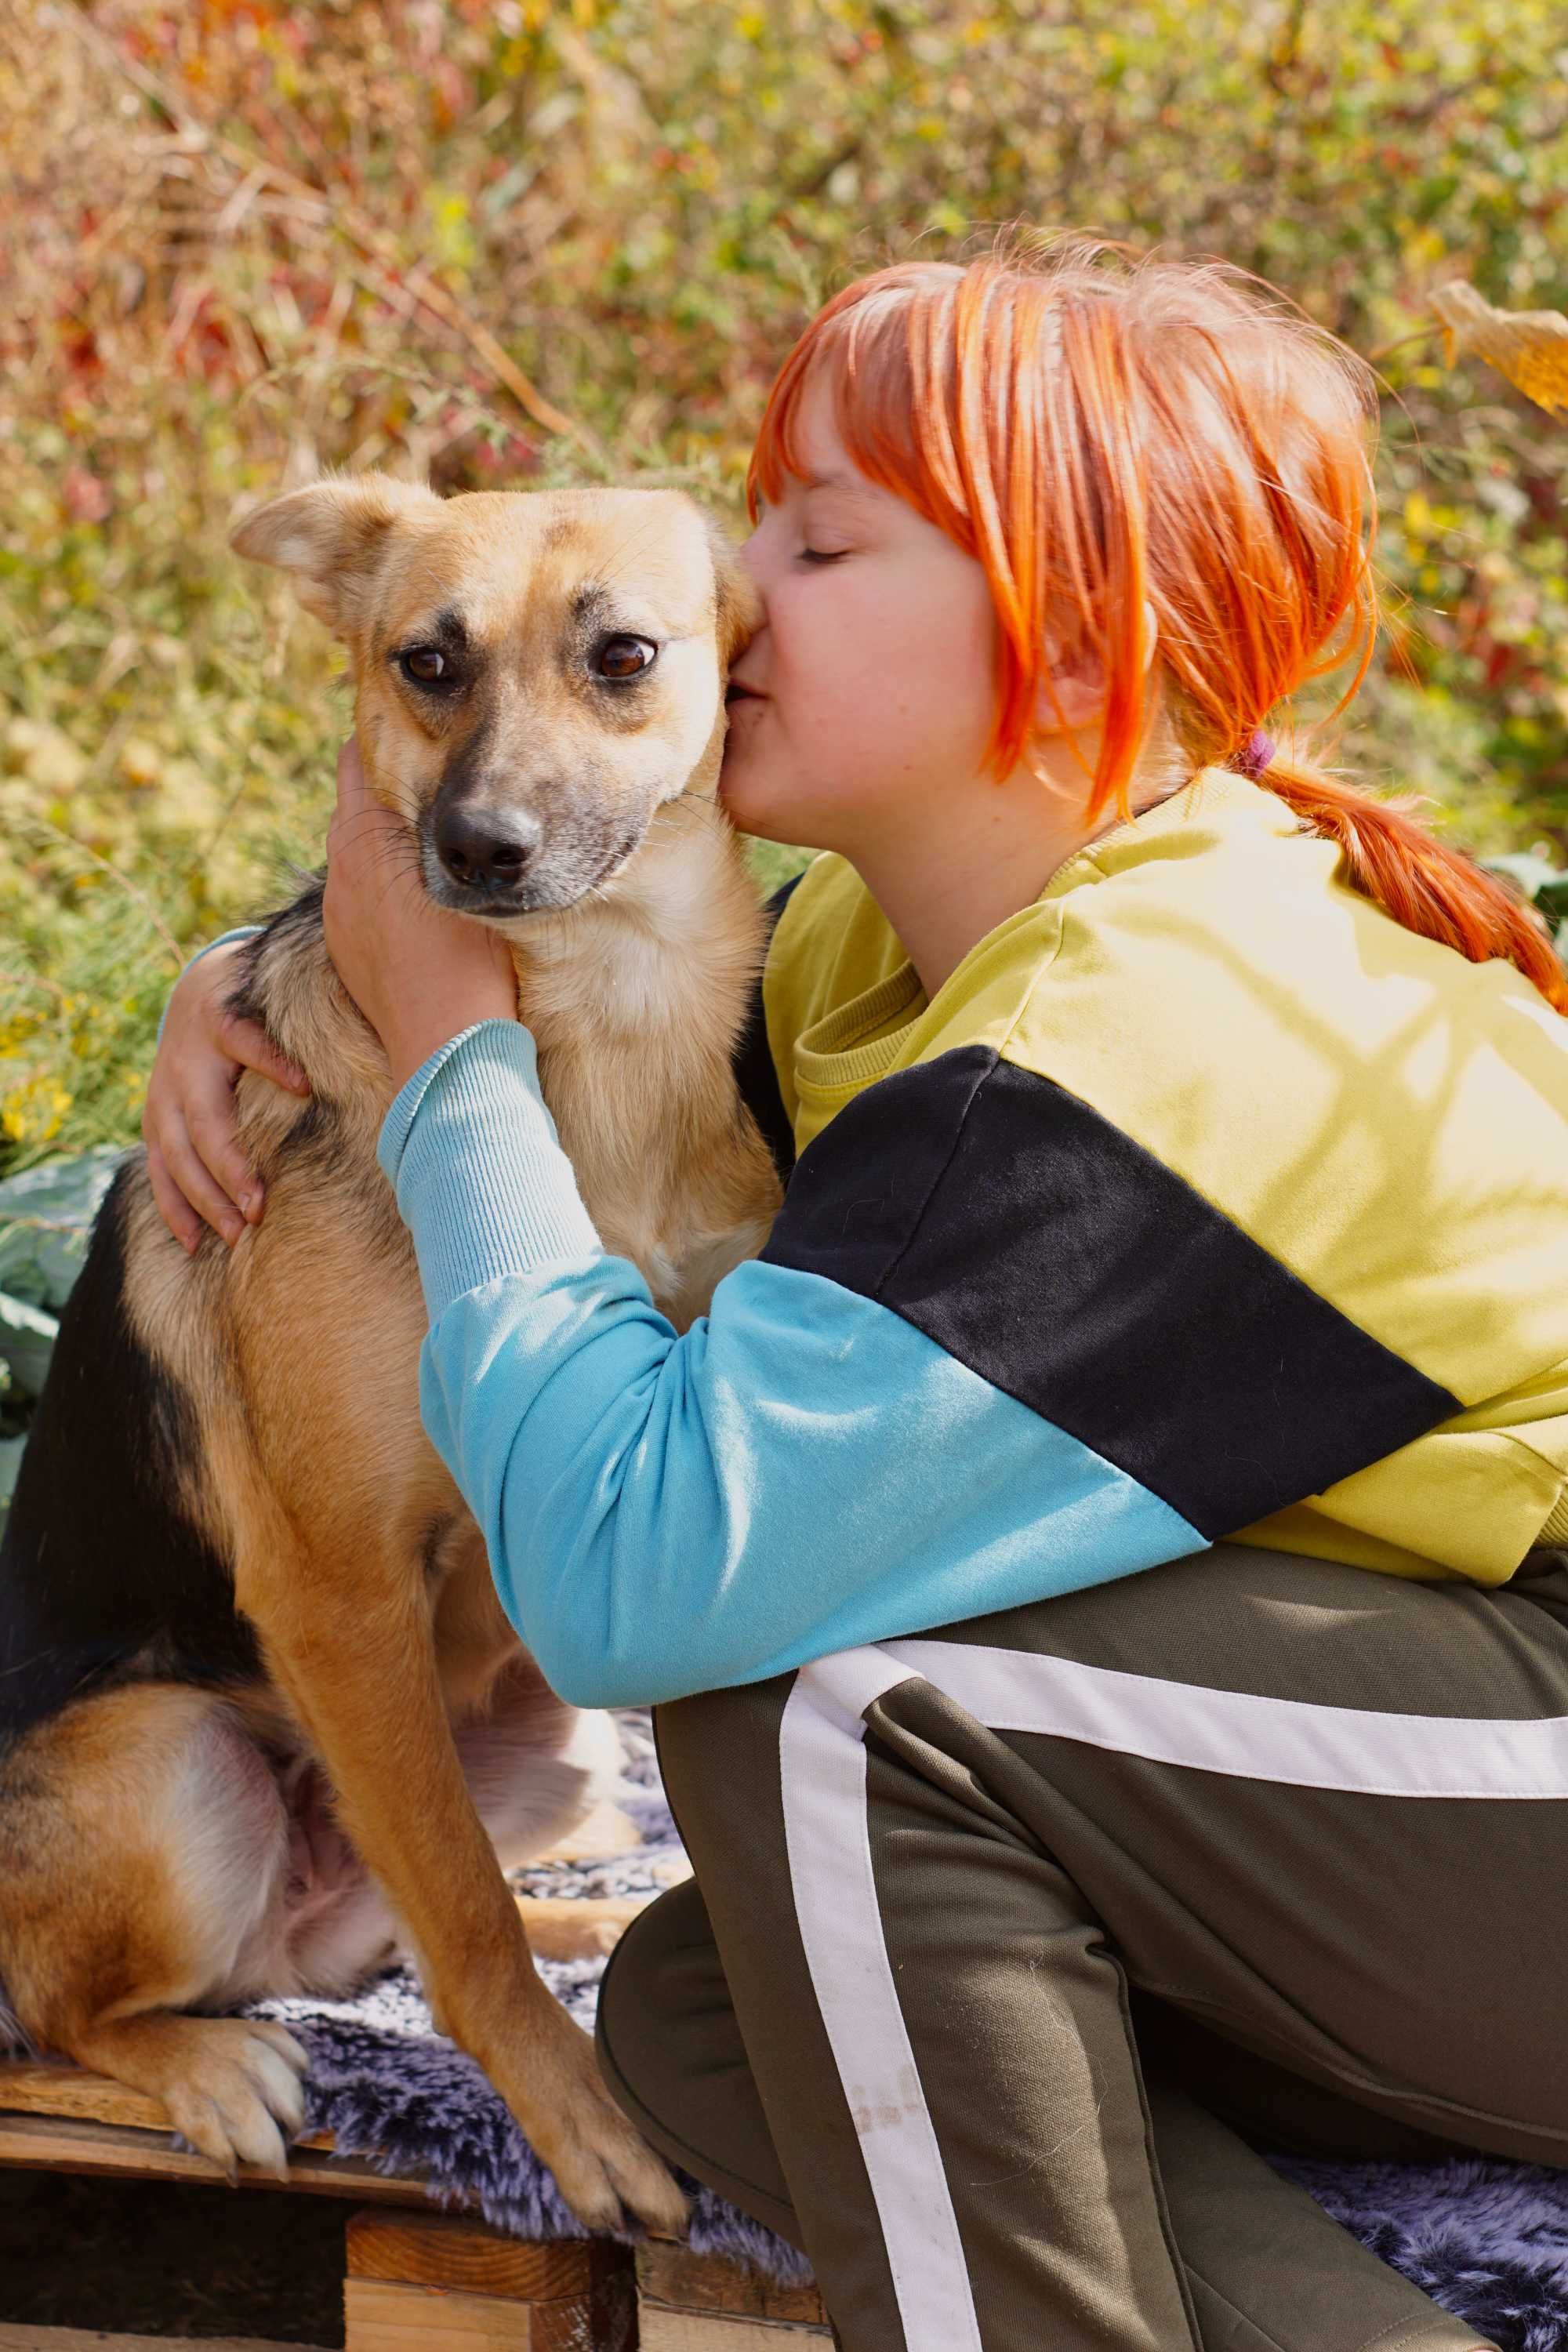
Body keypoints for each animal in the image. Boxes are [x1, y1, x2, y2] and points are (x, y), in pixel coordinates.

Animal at [0, 473, 780, 2220]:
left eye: (624, 654)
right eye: (427, 661)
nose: (475, 849)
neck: (596, 1033)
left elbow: (473, 1895)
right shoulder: (339, 1588)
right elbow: (468, 1924)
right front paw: (578, 2120)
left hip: (562, 1748)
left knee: (414, 1914)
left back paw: (594, 1924)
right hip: (177, 1761)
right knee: (80, 2005)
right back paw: (211, 2067)